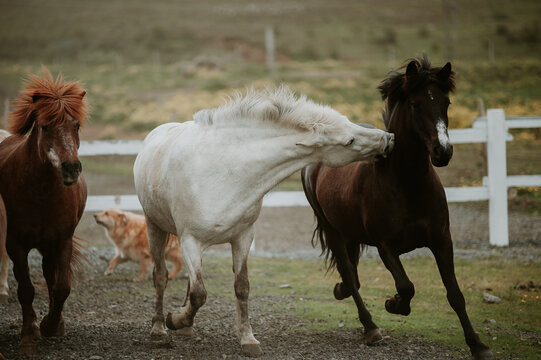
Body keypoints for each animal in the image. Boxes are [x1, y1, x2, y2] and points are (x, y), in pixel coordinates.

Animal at [0, 71, 87, 358]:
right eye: (46, 127)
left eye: (76, 126)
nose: (71, 168)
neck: (41, 193)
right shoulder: (15, 244)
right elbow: (26, 289)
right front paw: (29, 336)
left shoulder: (62, 240)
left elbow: (62, 287)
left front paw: (51, 324)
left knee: (51, 275)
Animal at [132, 86, 390, 356]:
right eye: (349, 141)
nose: (388, 137)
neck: (225, 169)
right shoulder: (190, 240)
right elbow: (199, 294)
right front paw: (175, 319)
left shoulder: (243, 237)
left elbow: (240, 287)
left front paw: (248, 339)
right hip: (154, 227)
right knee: (161, 276)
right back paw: (159, 330)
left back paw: (185, 328)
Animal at [302, 54, 492, 358]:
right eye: (415, 104)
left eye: (446, 103)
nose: (443, 151)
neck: (408, 184)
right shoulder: (385, 245)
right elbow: (406, 286)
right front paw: (393, 304)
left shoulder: (442, 240)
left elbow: (455, 294)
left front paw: (478, 345)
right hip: (332, 230)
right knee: (349, 273)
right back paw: (370, 328)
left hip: (350, 232)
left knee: (352, 276)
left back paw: (343, 292)